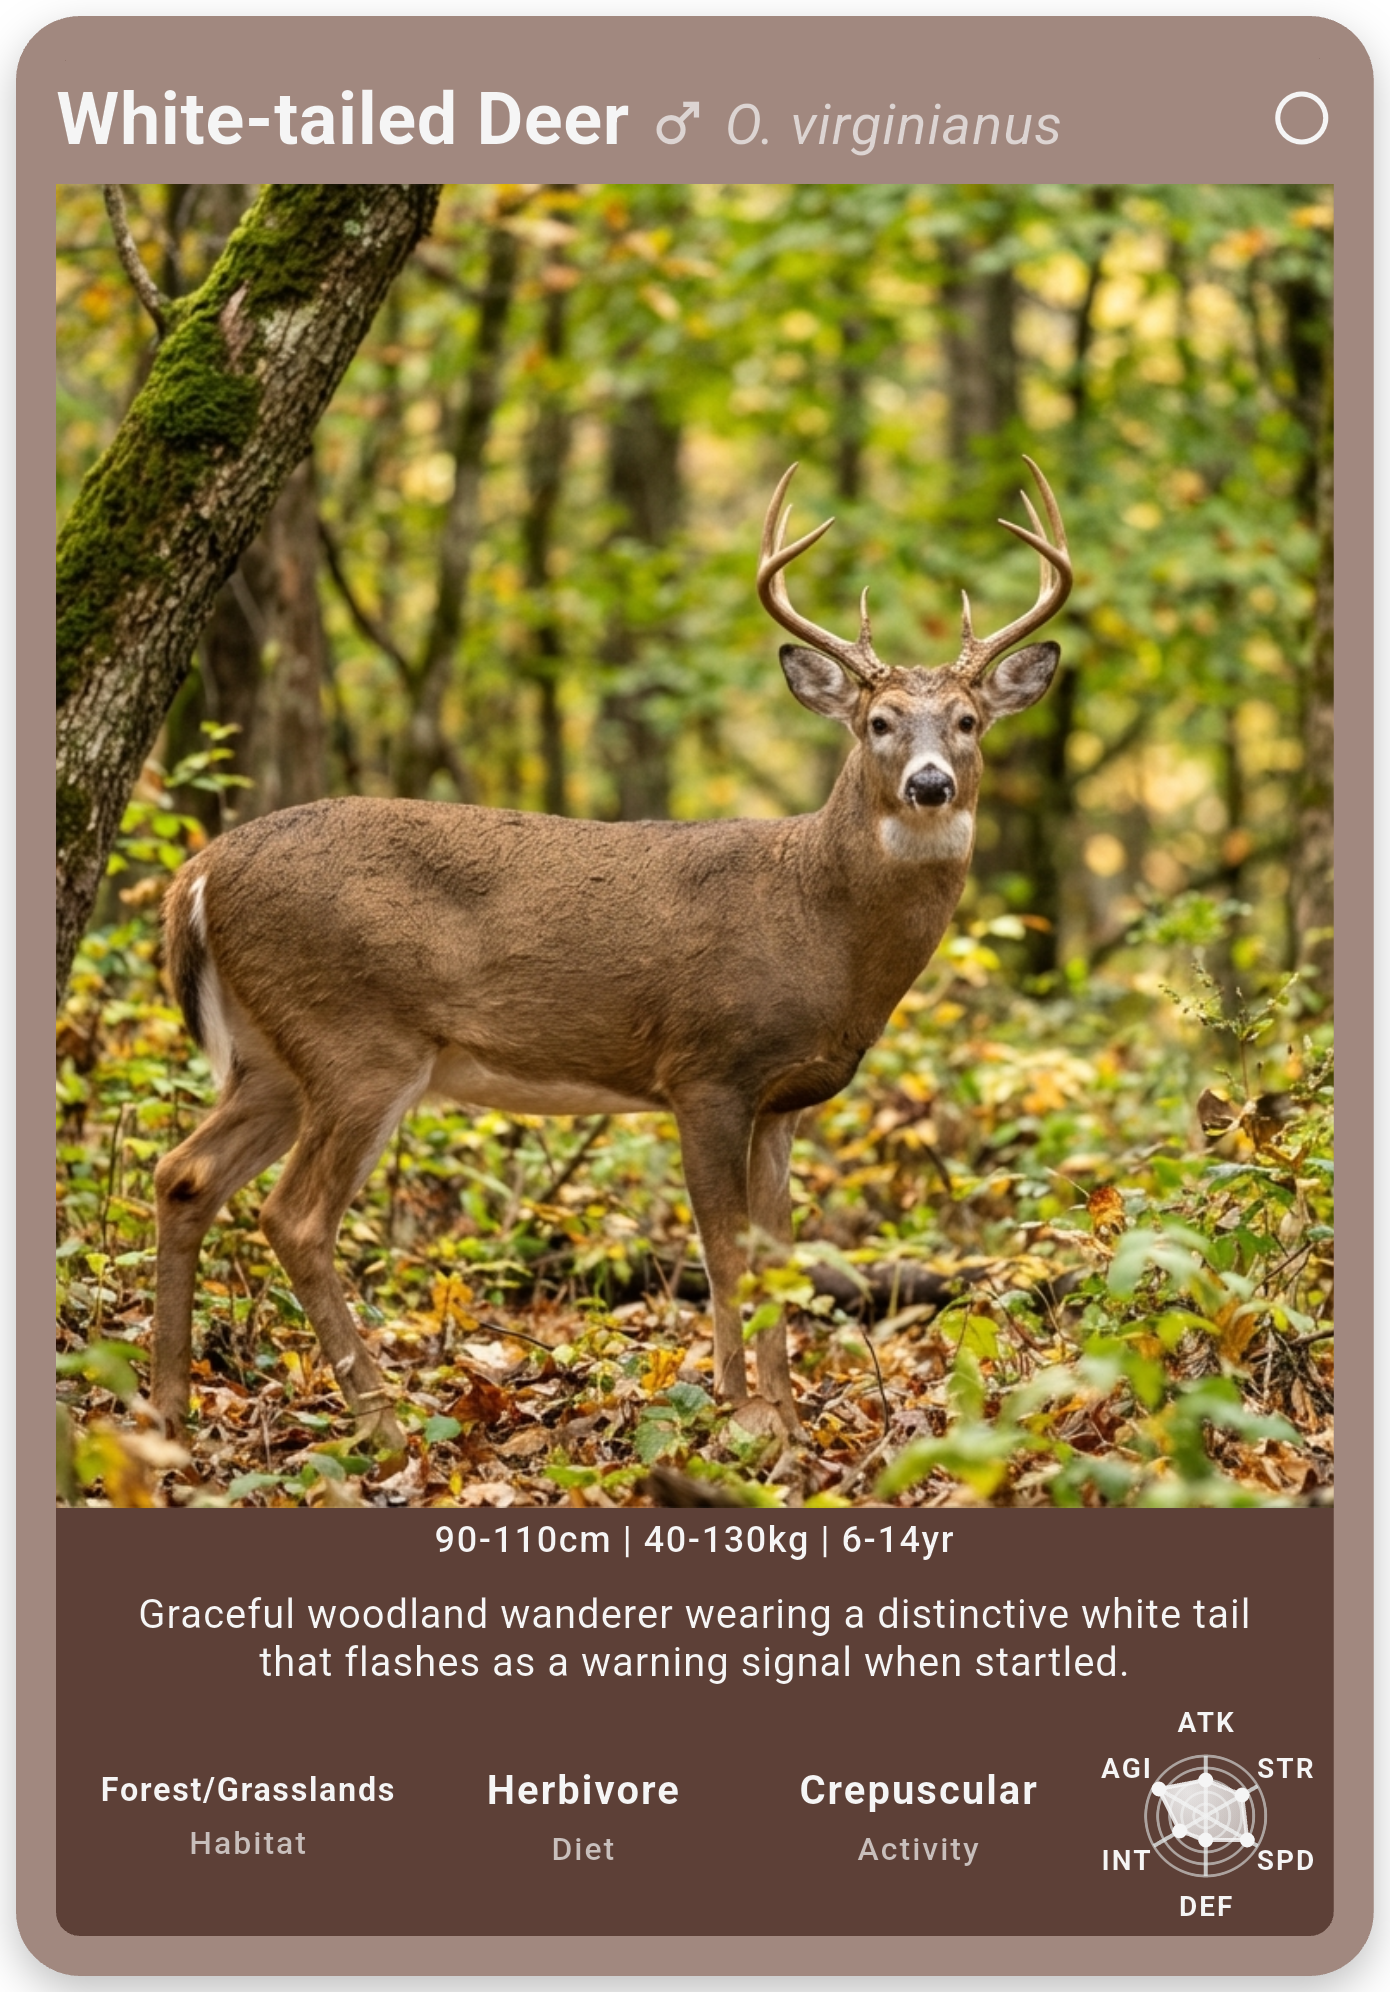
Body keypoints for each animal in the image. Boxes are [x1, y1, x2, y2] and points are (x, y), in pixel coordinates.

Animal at [151, 457, 1071, 1449]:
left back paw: (167, 1408)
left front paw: (789, 1422)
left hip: (272, 1056)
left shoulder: (783, 1100)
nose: (929, 784)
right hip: (356, 1039)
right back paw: (382, 1423)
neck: (815, 920)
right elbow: (724, 1250)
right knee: (294, 1216)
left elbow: (779, 1256)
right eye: (880, 722)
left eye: (969, 721)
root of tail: (199, 872)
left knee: (184, 1174)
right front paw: (742, 1416)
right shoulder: (705, 1067)